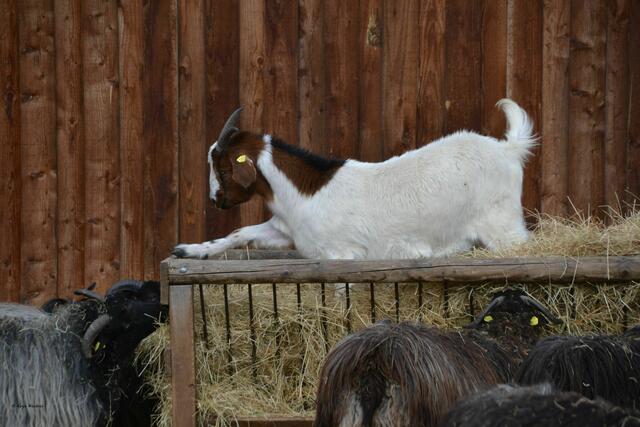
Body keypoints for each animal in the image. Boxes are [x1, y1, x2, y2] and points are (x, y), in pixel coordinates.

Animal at [173, 99, 535, 260]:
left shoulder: (341, 258)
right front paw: (189, 250)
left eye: (221, 168)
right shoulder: (287, 232)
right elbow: (241, 233)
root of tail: (507, 149)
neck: (305, 195)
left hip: (502, 226)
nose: (215, 200)